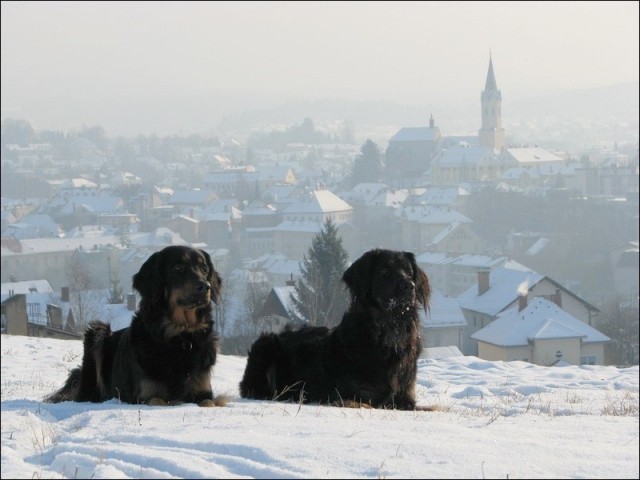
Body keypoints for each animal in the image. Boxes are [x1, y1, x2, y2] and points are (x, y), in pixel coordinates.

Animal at [45, 246, 225, 406]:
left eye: (204, 269)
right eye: (178, 268)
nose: (206, 286)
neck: (181, 336)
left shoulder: (203, 392)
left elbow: (209, 403)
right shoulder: (144, 395)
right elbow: (158, 400)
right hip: (97, 331)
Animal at [239, 249, 430, 410]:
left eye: (409, 271)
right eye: (384, 271)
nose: (409, 286)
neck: (389, 332)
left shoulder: (406, 395)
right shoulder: (348, 393)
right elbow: (363, 402)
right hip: (265, 345)